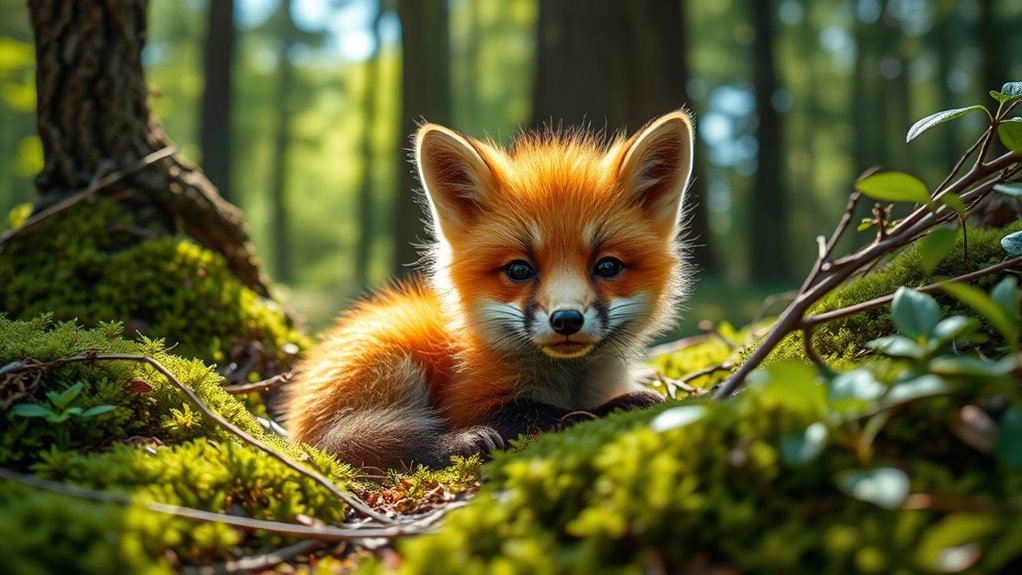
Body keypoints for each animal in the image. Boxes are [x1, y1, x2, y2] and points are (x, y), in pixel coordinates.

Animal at [284, 110, 695, 469]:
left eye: (607, 267)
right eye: (519, 269)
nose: (566, 320)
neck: (569, 380)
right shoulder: (474, 402)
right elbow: (559, 415)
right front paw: (623, 405)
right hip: (393, 363)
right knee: (348, 444)